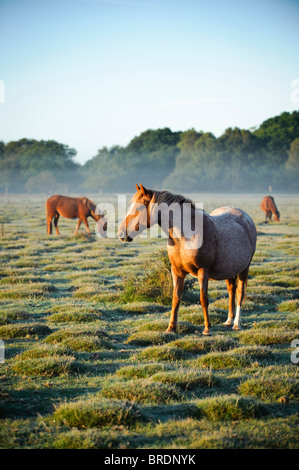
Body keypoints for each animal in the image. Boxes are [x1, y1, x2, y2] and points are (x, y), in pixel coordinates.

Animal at [118, 184, 256, 334]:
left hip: (244, 269)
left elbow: (203, 299)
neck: (186, 236)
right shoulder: (176, 271)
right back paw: (229, 320)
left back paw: (236, 323)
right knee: (231, 290)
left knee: (239, 294)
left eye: (138, 208)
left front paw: (207, 329)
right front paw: (171, 328)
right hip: (229, 270)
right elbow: (175, 298)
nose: (121, 234)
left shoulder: (203, 271)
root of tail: (246, 217)